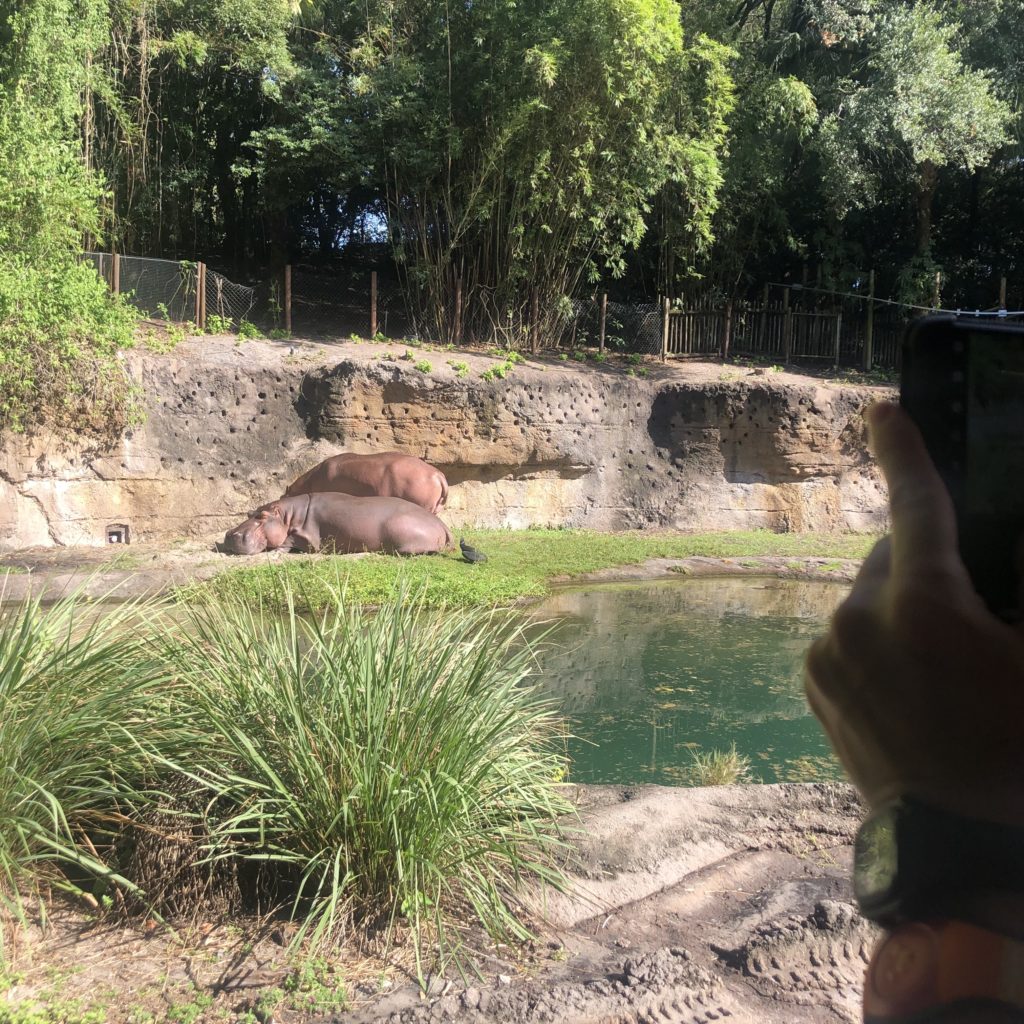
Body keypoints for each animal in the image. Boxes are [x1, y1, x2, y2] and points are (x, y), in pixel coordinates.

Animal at [222, 491, 450, 557]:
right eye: (250, 512)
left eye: (262, 516)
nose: (230, 534)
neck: (289, 515)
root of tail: (442, 524)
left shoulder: (308, 538)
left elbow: (289, 540)